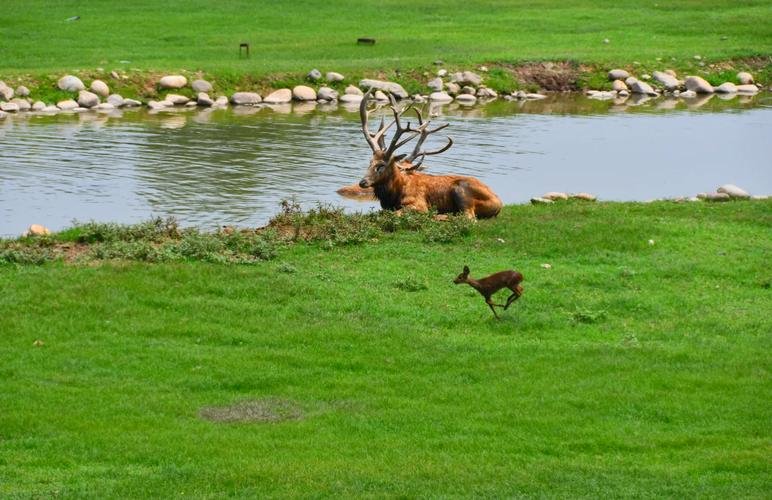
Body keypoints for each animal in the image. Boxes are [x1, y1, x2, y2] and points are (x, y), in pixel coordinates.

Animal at [351, 89, 503, 219]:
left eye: (381, 165)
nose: (362, 182)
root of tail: (500, 203)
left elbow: (395, 213)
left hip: (461, 191)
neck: (393, 194)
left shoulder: (419, 204)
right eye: (370, 162)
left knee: (468, 217)